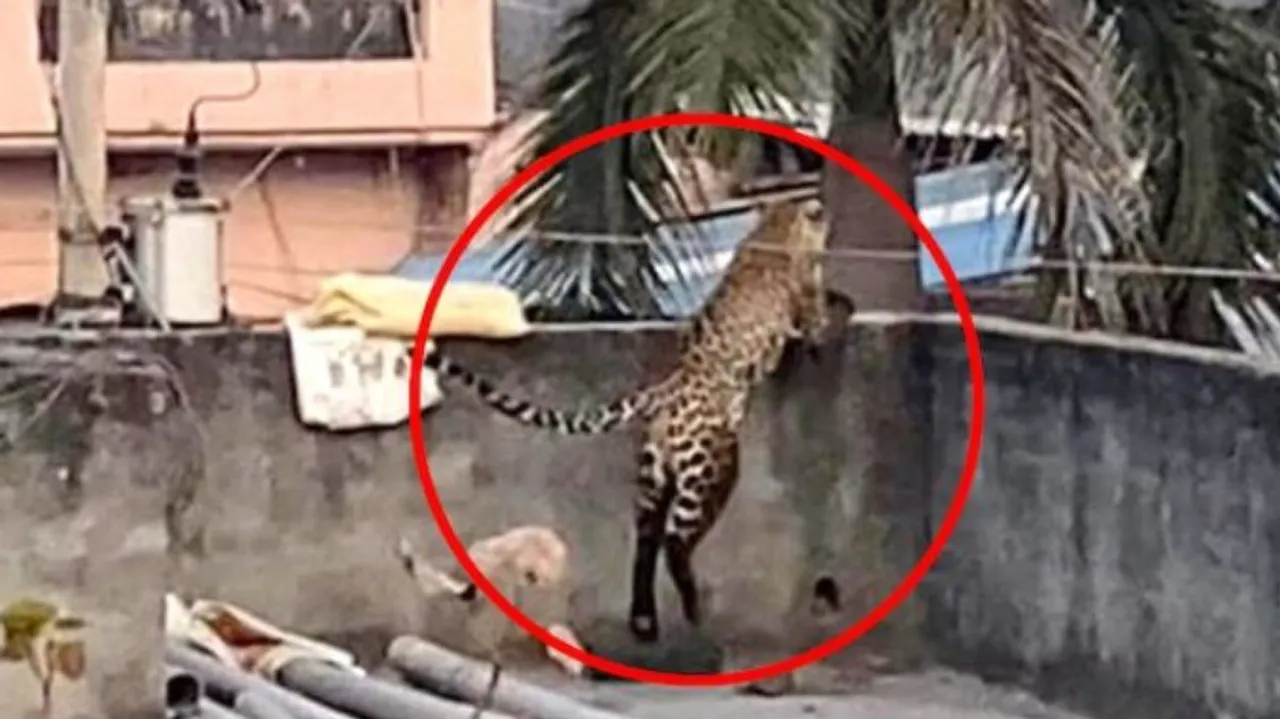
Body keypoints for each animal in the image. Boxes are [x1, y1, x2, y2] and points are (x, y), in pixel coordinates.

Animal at [420, 195, 835, 643]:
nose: (824, 214)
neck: (779, 220)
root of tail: (665, 390)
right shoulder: (805, 290)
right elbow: (815, 316)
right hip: (710, 467)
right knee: (673, 542)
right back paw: (691, 609)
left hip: (656, 474)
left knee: (645, 541)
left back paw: (643, 620)